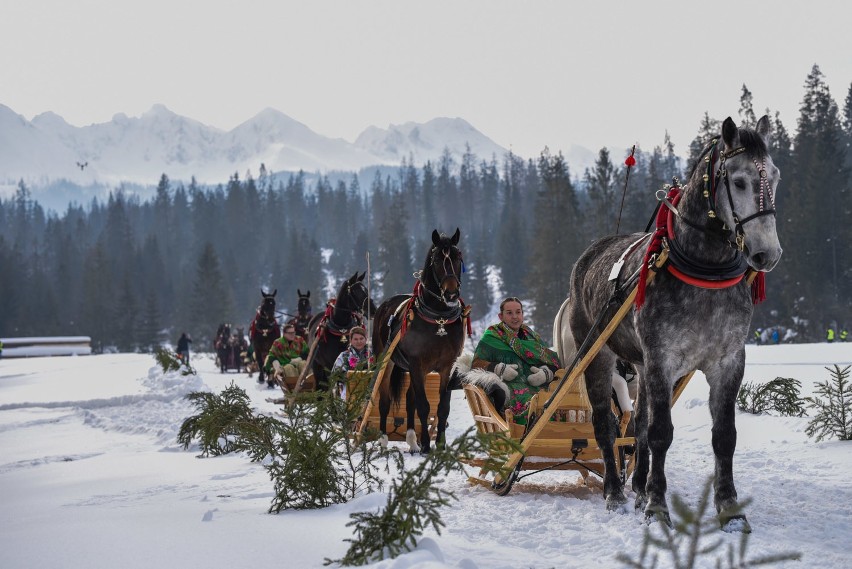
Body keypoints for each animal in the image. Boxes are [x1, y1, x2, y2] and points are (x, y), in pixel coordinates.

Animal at [372, 229, 466, 454]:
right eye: (437, 259)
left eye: (458, 257)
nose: (451, 293)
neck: (438, 318)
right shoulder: (417, 364)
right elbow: (423, 406)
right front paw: (426, 446)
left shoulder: (447, 366)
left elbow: (442, 408)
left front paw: (439, 444)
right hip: (387, 361)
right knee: (385, 400)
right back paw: (384, 440)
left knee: (409, 399)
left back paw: (412, 441)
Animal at [556, 116, 784, 532]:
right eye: (739, 181)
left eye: (774, 176)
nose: (767, 253)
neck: (704, 270)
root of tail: (588, 256)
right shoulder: (662, 358)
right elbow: (661, 433)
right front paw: (657, 507)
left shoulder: (727, 360)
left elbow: (722, 436)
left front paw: (730, 509)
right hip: (596, 354)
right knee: (605, 425)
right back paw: (615, 492)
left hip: (642, 365)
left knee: (637, 424)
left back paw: (637, 486)